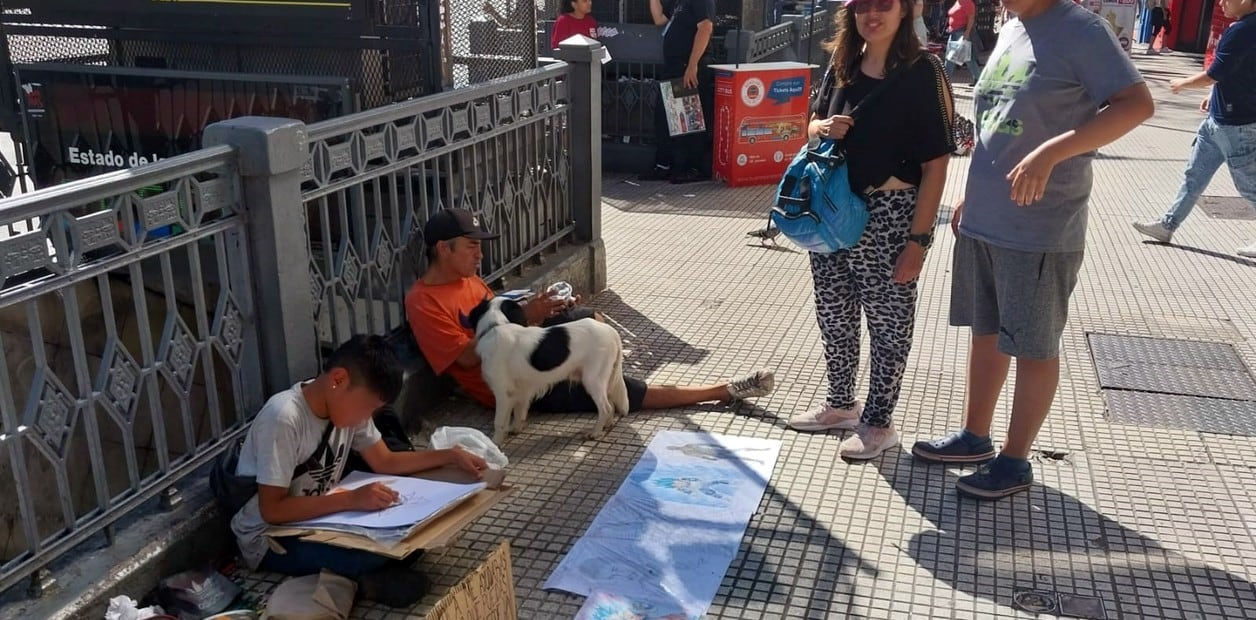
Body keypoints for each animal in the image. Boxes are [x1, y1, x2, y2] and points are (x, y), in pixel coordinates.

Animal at [469, 296, 633, 446]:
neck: (494, 326)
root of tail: (611, 330)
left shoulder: (503, 393)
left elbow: (499, 422)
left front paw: (494, 443)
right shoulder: (521, 391)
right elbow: (519, 412)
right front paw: (515, 429)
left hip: (592, 380)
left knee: (605, 407)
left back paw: (595, 433)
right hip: (604, 379)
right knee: (610, 404)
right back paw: (607, 425)